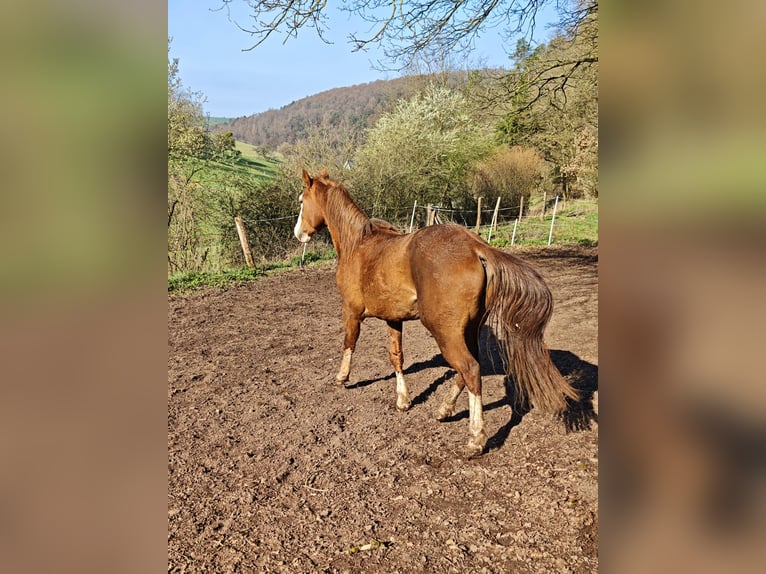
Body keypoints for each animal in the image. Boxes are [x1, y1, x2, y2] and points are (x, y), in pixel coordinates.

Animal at [294, 168, 577, 457]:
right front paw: (403, 400)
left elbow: (348, 344)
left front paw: (342, 378)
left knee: (470, 369)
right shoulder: (393, 319)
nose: (299, 233)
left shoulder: (350, 311)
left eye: (302, 200)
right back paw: (444, 410)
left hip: (444, 332)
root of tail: (476, 247)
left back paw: (475, 438)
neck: (358, 244)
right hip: (468, 330)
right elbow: (396, 357)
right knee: (467, 370)